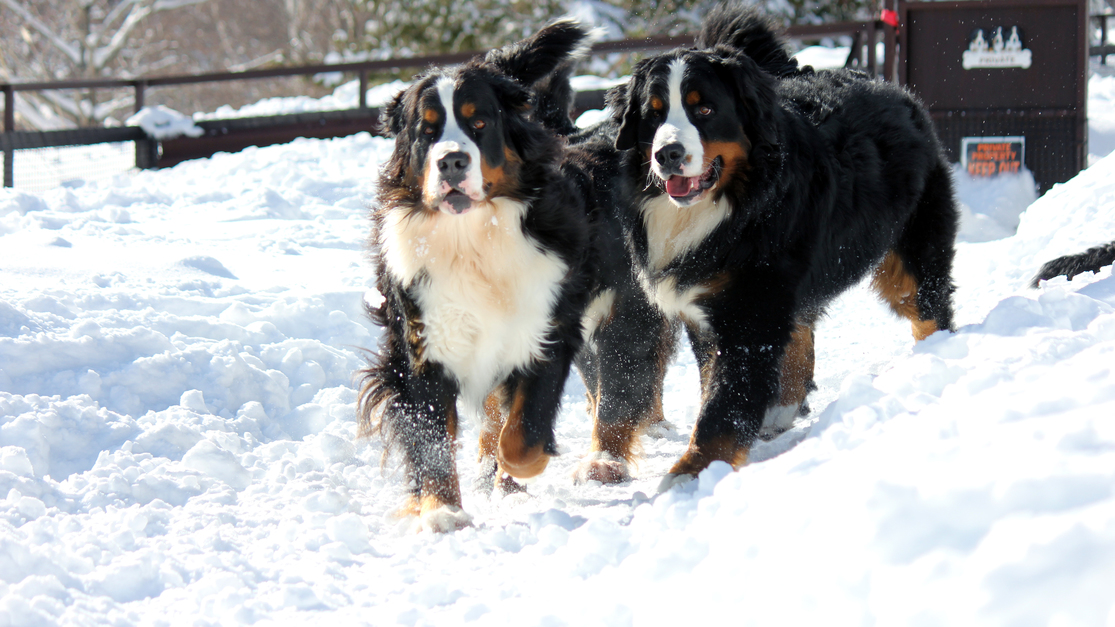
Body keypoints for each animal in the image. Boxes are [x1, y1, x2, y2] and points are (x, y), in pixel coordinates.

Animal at [359, 20, 602, 526]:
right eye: (427, 131)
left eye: (480, 123)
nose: (452, 160)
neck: (472, 238)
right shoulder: (421, 342)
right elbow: (432, 439)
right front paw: (440, 510)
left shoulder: (547, 325)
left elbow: (522, 435)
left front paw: (515, 471)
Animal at [602, 2, 958, 486]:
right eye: (653, 114)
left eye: (705, 109)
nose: (667, 154)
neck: (727, 206)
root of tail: (894, 88)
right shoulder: (709, 309)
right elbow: (717, 385)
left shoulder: (749, 309)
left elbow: (725, 403)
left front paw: (691, 472)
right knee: (801, 337)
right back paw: (781, 410)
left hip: (909, 257)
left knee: (928, 308)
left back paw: (932, 360)